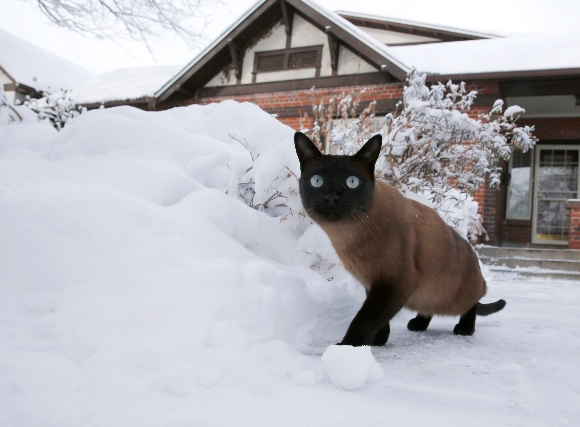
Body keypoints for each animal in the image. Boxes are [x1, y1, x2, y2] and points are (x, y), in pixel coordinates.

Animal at [294, 132, 502, 346]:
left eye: (352, 182)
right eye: (317, 181)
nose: (331, 197)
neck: (347, 236)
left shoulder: (396, 281)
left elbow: (365, 318)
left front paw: (349, 346)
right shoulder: (373, 282)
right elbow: (378, 318)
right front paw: (378, 339)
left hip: (452, 296)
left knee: (473, 303)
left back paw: (464, 328)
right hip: (427, 295)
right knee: (430, 308)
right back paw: (418, 324)